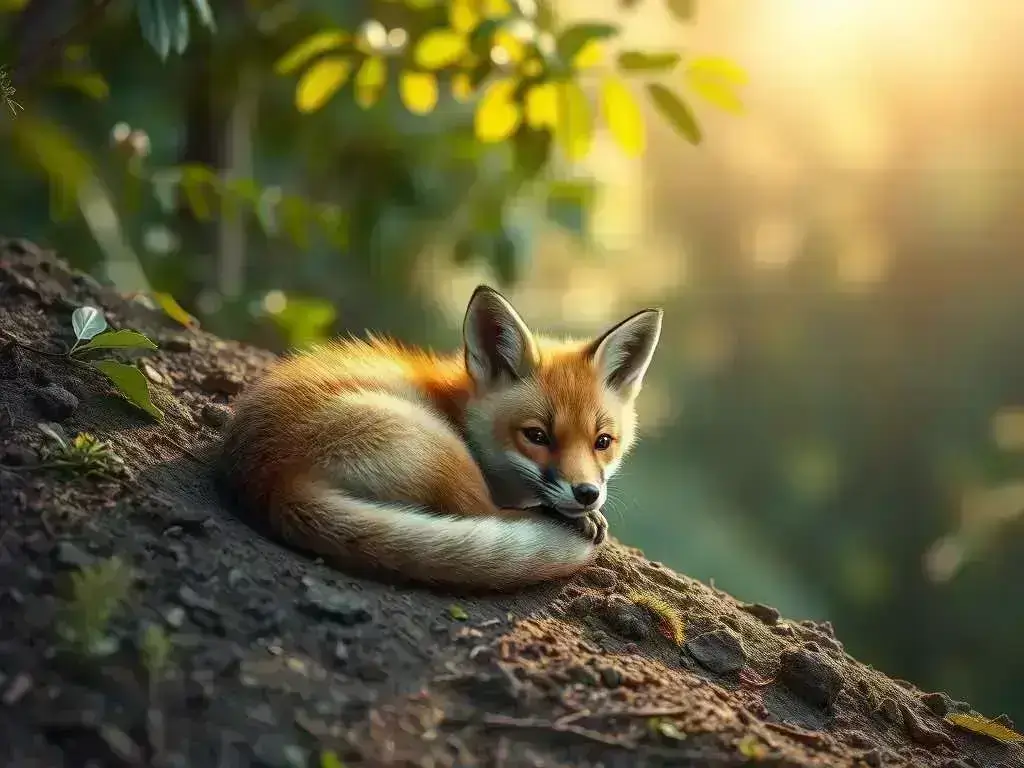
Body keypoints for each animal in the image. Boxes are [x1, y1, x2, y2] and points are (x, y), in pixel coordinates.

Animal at [218, 285, 663, 591]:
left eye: (602, 442)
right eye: (536, 436)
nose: (587, 494)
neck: (457, 405)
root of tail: (272, 481)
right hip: (445, 452)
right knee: (486, 513)